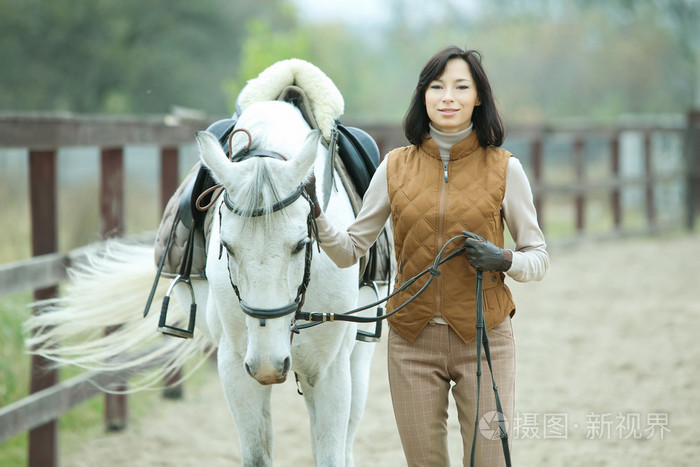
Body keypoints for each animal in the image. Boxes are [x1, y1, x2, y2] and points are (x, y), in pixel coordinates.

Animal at [24, 100, 378, 466]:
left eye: (300, 244)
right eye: (227, 247)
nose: (269, 364)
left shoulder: (330, 372)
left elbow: (332, 454)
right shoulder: (237, 367)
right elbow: (256, 454)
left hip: (356, 362)